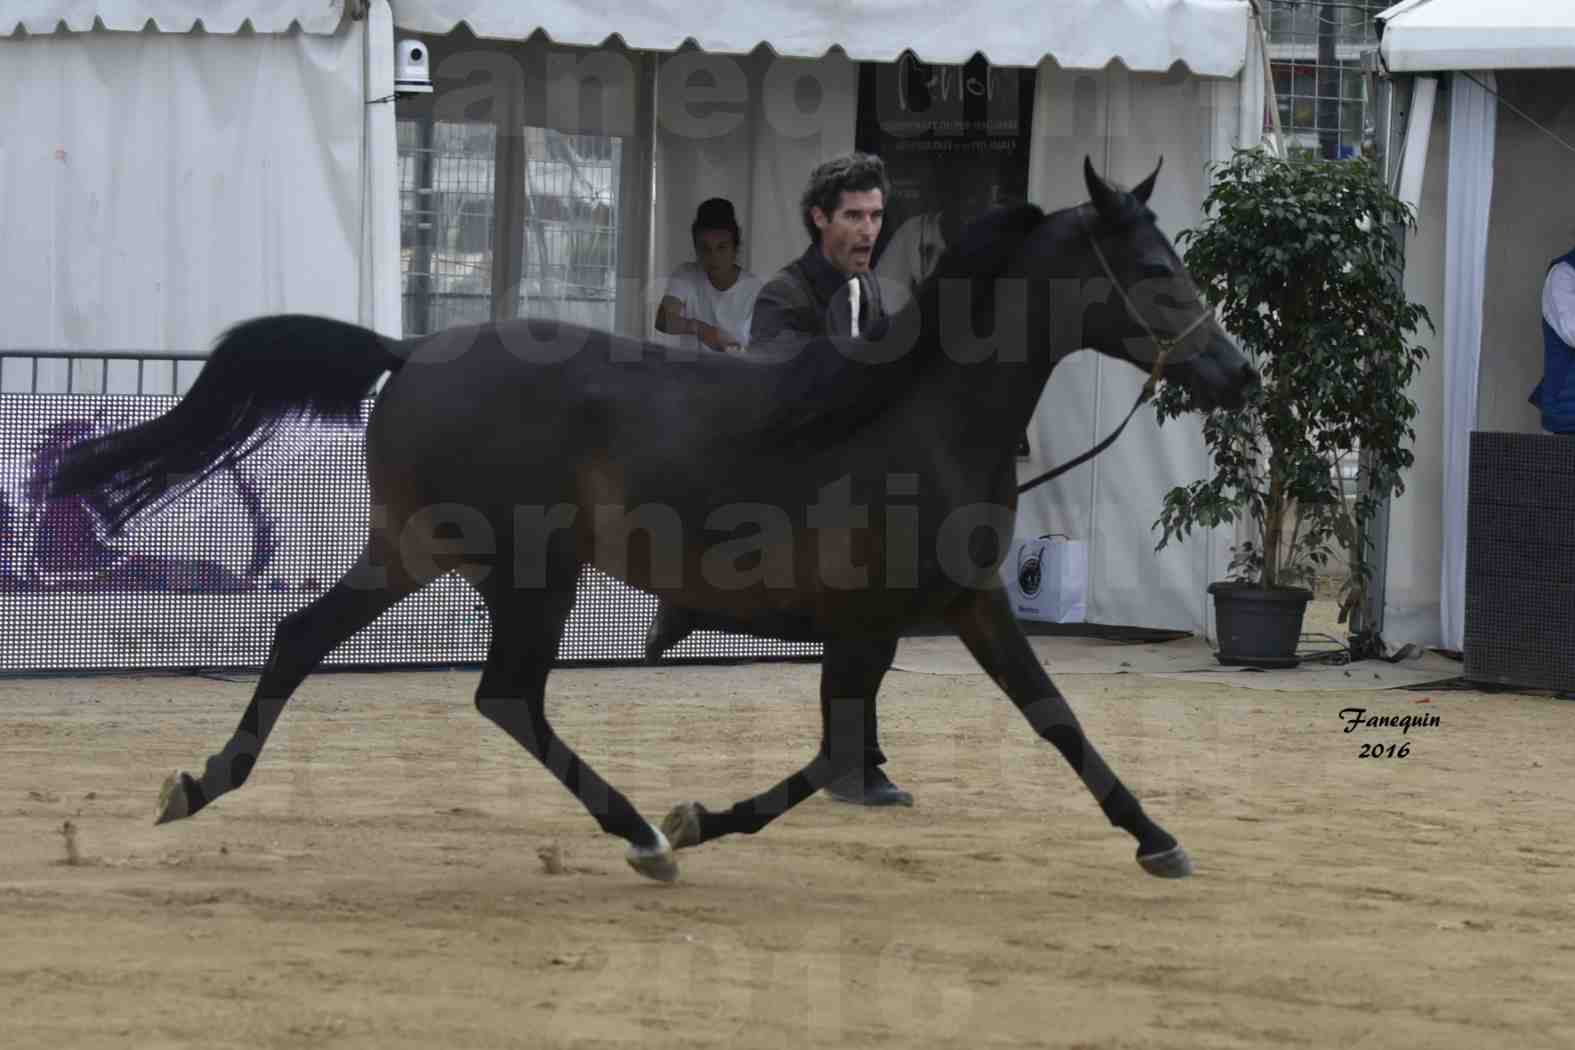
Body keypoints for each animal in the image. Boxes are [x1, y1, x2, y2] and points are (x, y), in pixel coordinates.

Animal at [46, 160, 1253, 881]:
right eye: (1154, 268)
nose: (1236, 373)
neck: (915, 414)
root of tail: (412, 351)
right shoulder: (868, 619)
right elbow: (847, 746)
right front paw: (696, 821)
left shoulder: (963, 603)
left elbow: (1048, 717)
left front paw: (1157, 838)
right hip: (525, 571)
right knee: (502, 695)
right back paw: (635, 835)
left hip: (419, 554)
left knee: (310, 642)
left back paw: (200, 785)